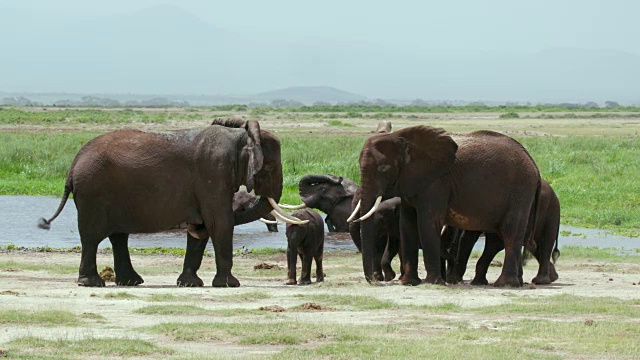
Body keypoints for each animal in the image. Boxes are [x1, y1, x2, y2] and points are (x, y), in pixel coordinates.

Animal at [39, 119, 304, 288]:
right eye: (270, 167)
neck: (240, 136)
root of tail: (72, 166)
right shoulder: (213, 172)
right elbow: (220, 223)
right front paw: (230, 285)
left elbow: (205, 228)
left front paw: (190, 284)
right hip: (93, 193)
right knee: (92, 237)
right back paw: (93, 283)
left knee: (118, 236)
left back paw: (131, 282)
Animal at [352, 126, 536, 286]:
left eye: (384, 169)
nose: (374, 281)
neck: (400, 136)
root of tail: (532, 161)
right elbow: (407, 224)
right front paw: (409, 283)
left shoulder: (437, 182)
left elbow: (427, 222)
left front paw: (432, 282)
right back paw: (515, 283)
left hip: (521, 190)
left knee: (511, 232)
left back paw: (505, 284)